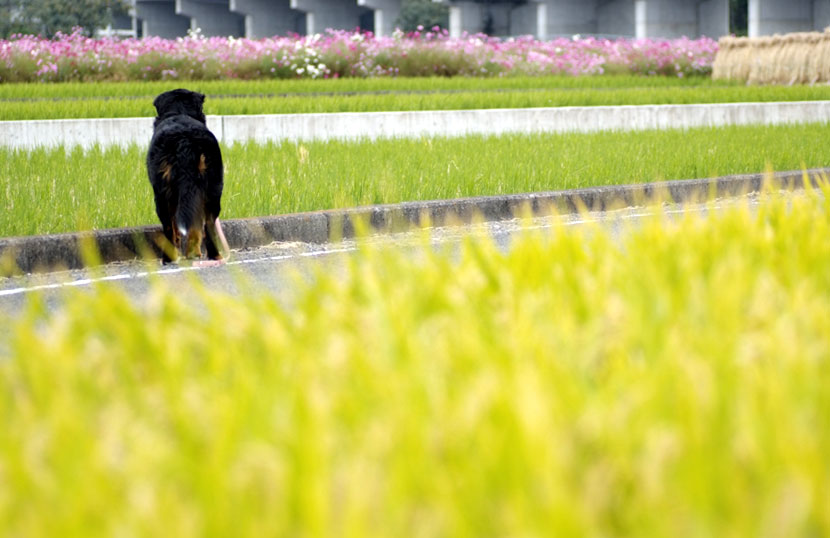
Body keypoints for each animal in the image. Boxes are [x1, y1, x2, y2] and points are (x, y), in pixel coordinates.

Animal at [148, 88, 228, 262]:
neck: (179, 112)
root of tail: (185, 139)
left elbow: (173, 227)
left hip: (162, 193)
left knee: (171, 226)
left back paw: (169, 258)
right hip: (212, 186)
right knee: (205, 224)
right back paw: (209, 255)